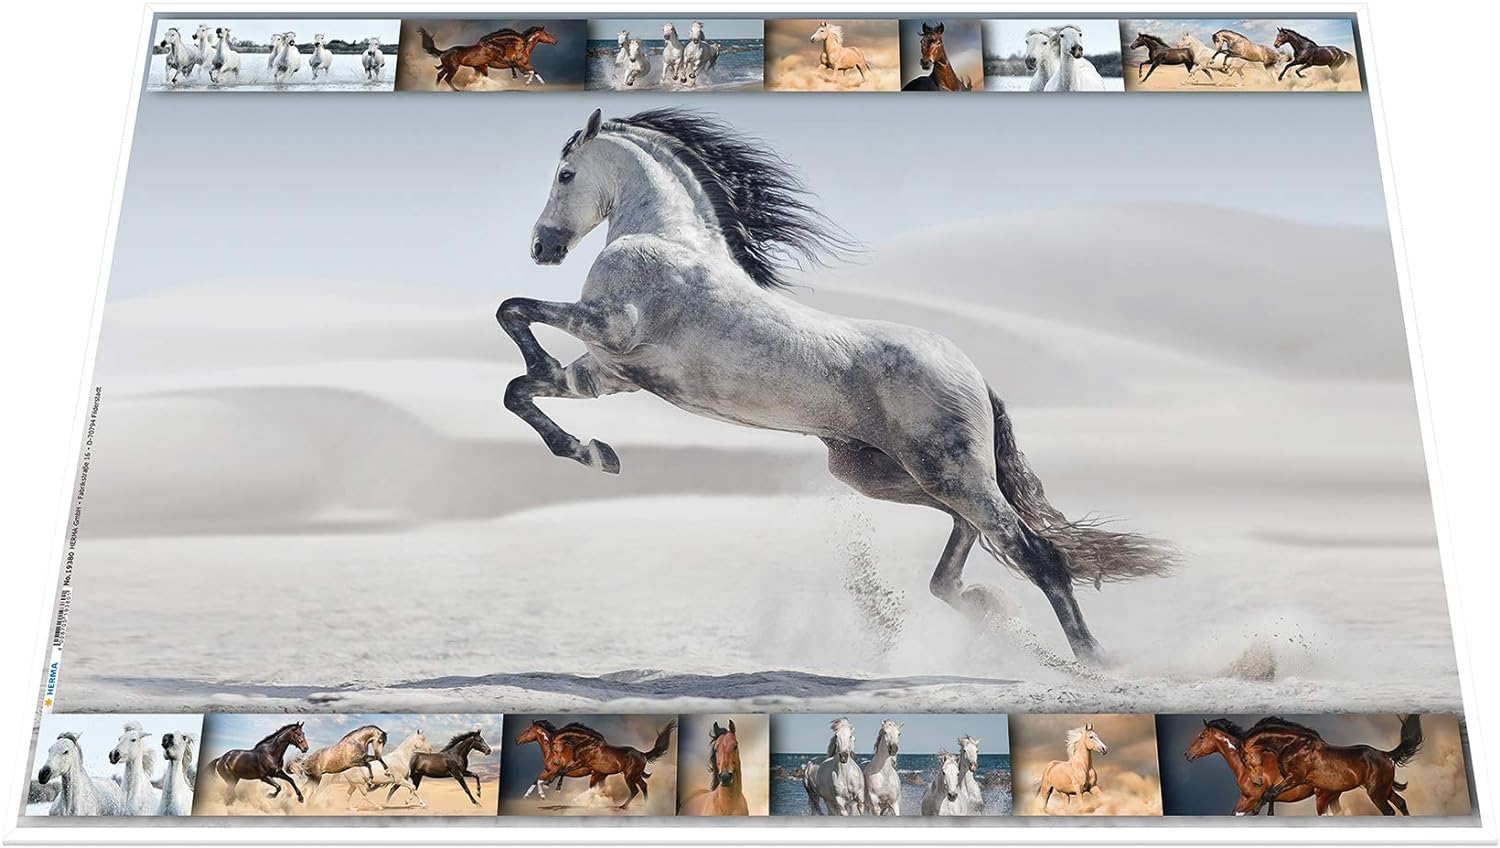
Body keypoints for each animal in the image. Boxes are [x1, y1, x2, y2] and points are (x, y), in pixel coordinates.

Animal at [499, 107, 1172, 662]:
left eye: (565, 173)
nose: (540, 247)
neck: (666, 238)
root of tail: (975, 375)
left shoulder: (610, 327)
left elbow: (513, 312)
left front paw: (572, 417)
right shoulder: (608, 373)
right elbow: (520, 388)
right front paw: (594, 453)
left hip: (948, 470)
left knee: (1035, 552)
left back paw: (1093, 661)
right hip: (882, 473)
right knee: (970, 537)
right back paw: (984, 606)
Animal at [546, 720, 676, 809]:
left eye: (552, 746)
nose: (555, 761)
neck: (586, 742)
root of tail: (642, 754)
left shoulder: (582, 763)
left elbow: (562, 770)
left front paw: (553, 786)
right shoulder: (586, 767)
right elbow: (563, 770)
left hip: (629, 776)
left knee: (635, 790)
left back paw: (623, 806)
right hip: (635, 775)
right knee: (644, 786)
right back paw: (646, 805)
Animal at [1247, 715, 1423, 815]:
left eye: (1244, 757)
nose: (1256, 781)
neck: (1293, 745)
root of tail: (1386, 754)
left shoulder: (1295, 778)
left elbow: (1269, 793)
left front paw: (1256, 811)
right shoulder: (1289, 780)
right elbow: (1271, 793)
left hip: (1376, 793)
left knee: (1389, 811)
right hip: (1384, 789)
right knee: (1401, 803)